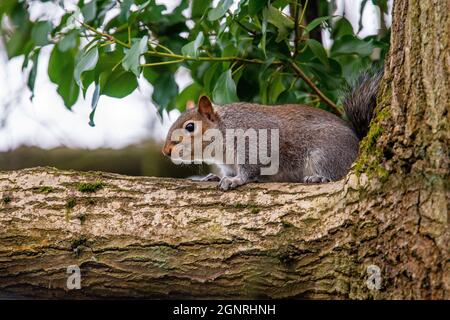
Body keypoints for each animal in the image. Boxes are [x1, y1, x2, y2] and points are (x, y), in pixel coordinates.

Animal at [162, 69, 384, 190]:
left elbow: (250, 169)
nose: (166, 151)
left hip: (328, 153)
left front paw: (236, 180)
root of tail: (359, 144)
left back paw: (320, 177)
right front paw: (214, 176)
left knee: (338, 172)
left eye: (190, 127)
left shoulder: (254, 141)